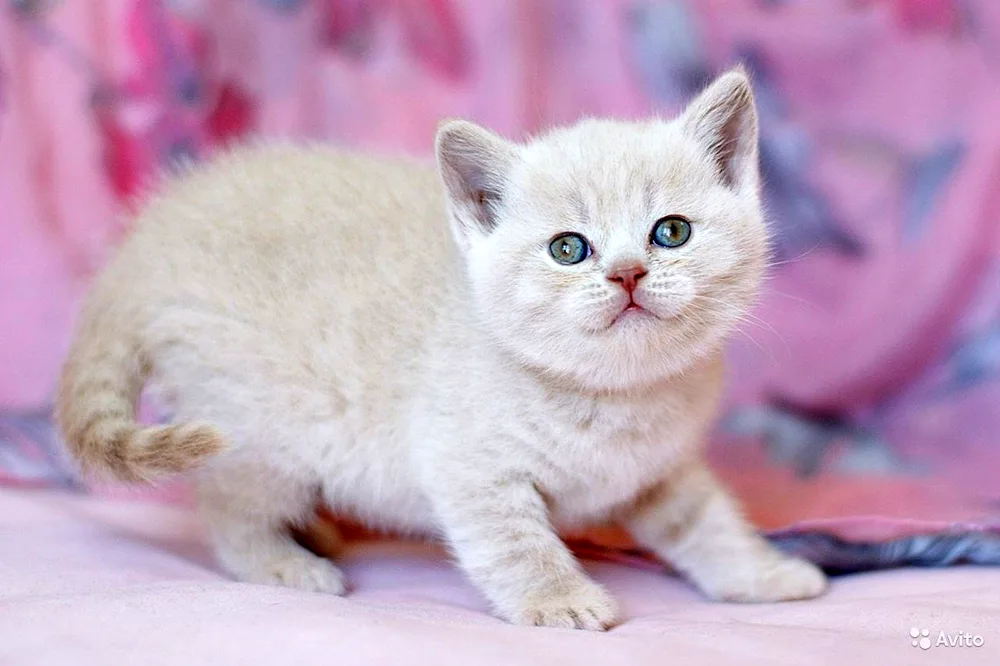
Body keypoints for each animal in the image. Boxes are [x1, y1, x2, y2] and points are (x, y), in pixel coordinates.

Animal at [52, 70, 820, 632]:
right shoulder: (469, 465)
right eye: (568, 249)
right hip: (258, 428)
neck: (610, 396)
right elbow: (517, 543)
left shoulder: (660, 472)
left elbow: (709, 525)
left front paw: (765, 574)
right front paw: (560, 601)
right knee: (226, 507)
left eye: (671, 232)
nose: (628, 273)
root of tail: (142, 249)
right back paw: (284, 564)